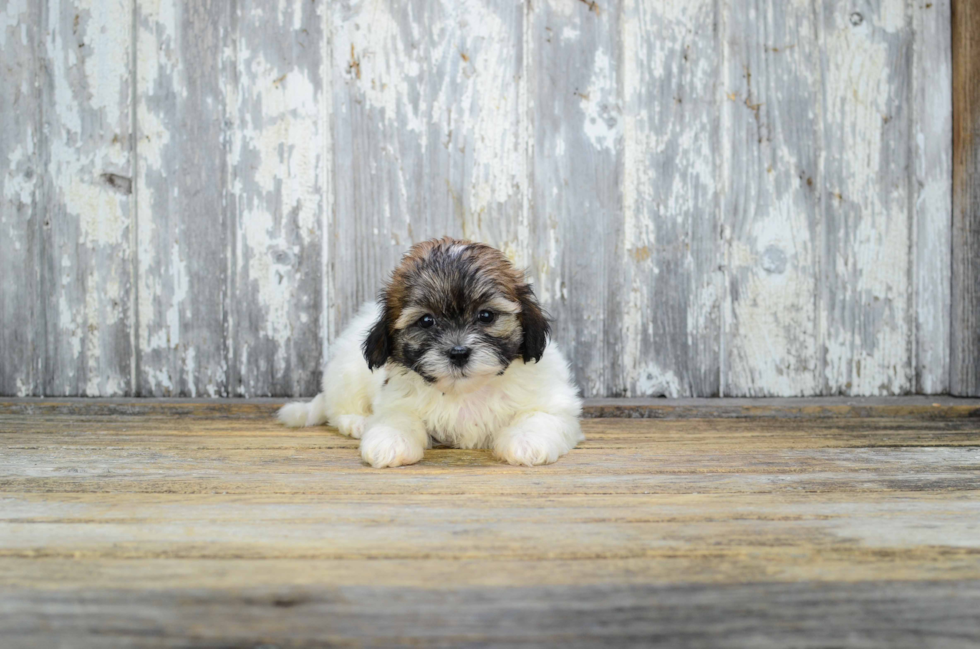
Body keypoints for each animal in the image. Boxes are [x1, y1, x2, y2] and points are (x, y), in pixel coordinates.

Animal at [278, 237, 580, 466]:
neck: (464, 392)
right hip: (347, 373)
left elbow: (540, 416)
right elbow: (397, 419)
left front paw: (526, 442)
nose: (458, 352)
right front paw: (390, 442)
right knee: (338, 407)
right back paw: (356, 421)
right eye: (426, 321)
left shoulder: (554, 401)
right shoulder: (396, 400)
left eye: (486, 316)